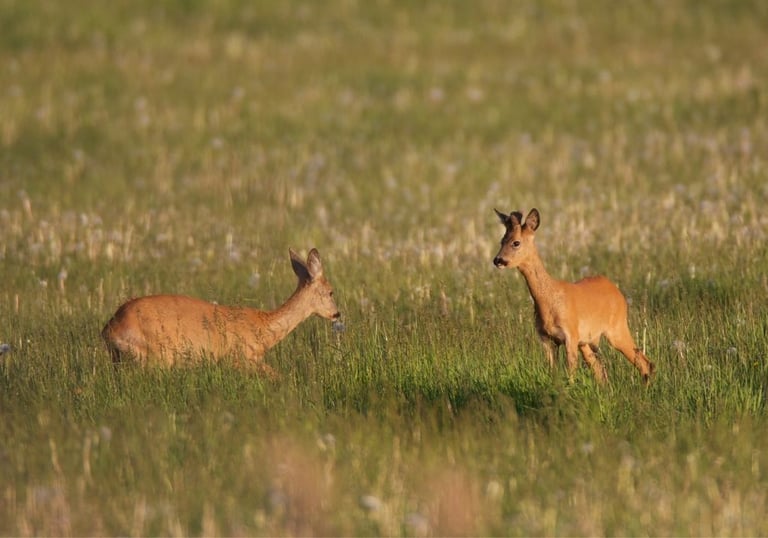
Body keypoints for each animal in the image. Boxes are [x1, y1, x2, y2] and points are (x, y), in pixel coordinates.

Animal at [101, 248, 340, 377]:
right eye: (330, 291)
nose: (337, 314)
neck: (263, 329)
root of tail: (110, 328)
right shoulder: (239, 357)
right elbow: (276, 375)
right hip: (156, 356)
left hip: (120, 359)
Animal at [493, 208, 655, 385]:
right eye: (502, 240)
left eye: (516, 242)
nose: (498, 260)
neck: (549, 300)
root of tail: (616, 291)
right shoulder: (546, 339)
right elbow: (553, 373)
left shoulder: (570, 335)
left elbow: (570, 375)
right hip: (587, 342)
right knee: (601, 372)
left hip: (617, 328)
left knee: (645, 363)